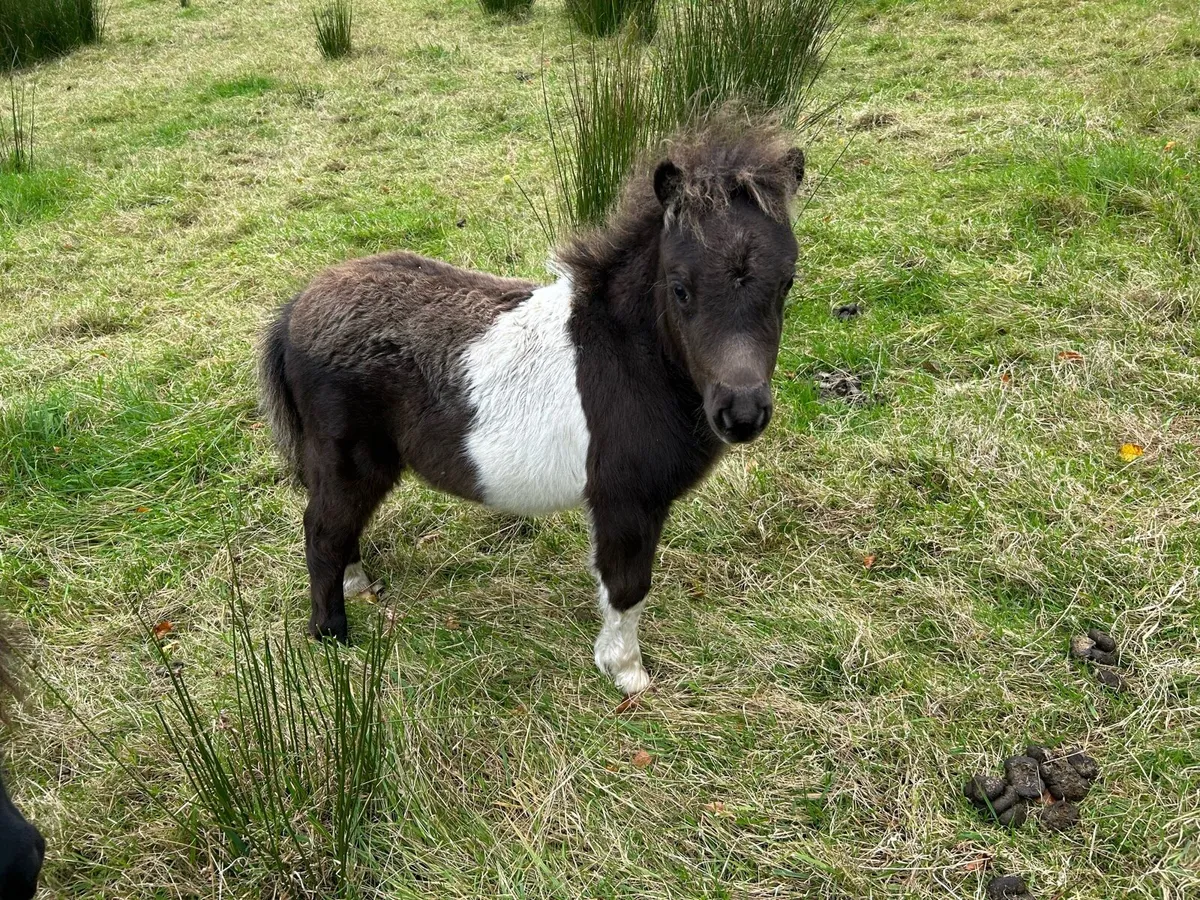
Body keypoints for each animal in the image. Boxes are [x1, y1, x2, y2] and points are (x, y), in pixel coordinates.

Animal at [259, 120, 805, 694]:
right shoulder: (625, 501)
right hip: (348, 460)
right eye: (680, 288)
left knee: (341, 528)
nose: (741, 414)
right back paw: (331, 635)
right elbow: (627, 588)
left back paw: (360, 586)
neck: (626, 355)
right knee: (322, 532)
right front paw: (627, 674)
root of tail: (295, 309)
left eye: (786, 282)